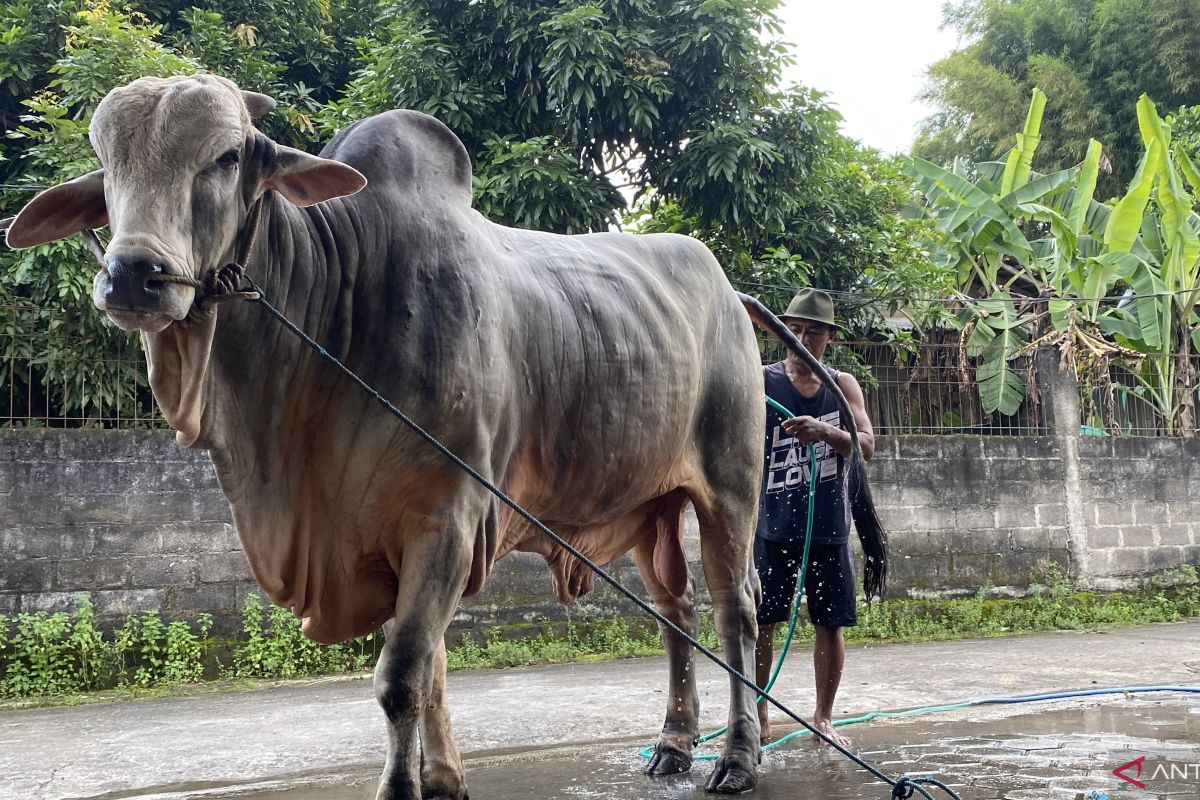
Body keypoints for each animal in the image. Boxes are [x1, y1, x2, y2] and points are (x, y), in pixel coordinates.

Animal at [4, 74, 875, 799]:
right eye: (106, 166)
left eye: (224, 156)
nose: (133, 275)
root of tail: (730, 289)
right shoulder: (399, 539)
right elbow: (433, 671)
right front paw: (446, 779)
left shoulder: (446, 517)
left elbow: (401, 676)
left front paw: (404, 788)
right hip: (648, 508)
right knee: (676, 609)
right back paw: (670, 745)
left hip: (729, 487)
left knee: (738, 610)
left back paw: (737, 757)